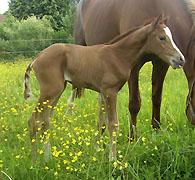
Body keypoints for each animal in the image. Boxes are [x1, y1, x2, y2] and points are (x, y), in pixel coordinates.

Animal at [24, 14, 184, 162]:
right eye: (162, 38)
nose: (181, 59)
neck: (118, 55)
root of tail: (37, 57)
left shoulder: (102, 92)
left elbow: (101, 122)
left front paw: (97, 149)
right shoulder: (110, 92)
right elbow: (113, 124)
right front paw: (113, 159)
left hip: (57, 92)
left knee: (45, 122)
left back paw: (48, 158)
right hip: (50, 91)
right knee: (33, 121)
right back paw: (34, 162)